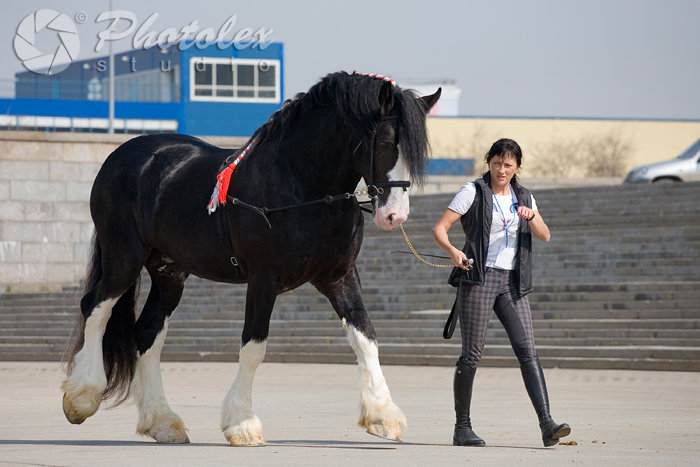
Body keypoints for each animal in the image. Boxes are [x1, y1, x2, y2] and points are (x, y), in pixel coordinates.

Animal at [64, 72, 438, 446]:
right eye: (386, 141)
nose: (394, 215)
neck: (301, 187)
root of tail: (122, 155)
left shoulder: (340, 276)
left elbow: (365, 337)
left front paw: (383, 414)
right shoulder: (262, 279)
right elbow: (254, 346)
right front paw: (242, 423)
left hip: (169, 272)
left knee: (147, 332)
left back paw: (163, 422)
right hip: (123, 257)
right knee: (96, 308)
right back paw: (82, 397)